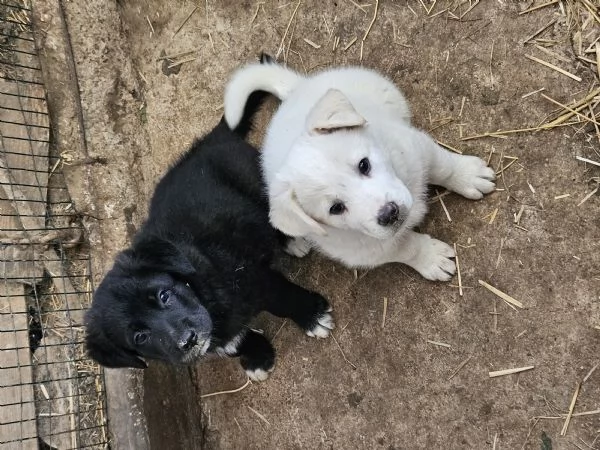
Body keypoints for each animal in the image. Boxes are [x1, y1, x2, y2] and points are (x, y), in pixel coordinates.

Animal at [85, 95, 332, 380]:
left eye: (164, 296)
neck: (199, 289)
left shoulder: (255, 279)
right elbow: (233, 343)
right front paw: (257, 356)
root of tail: (210, 140)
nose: (188, 341)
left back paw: (290, 240)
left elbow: (283, 299)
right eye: (140, 337)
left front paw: (313, 316)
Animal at [223, 57, 494, 282]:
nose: (390, 214)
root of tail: (295, 91)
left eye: (364, 165)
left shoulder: (416, 147)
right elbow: (407, 248)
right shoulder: (371, 249)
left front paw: (468, 176)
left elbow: (443, 166)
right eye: (336, 208)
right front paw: (431, 258)